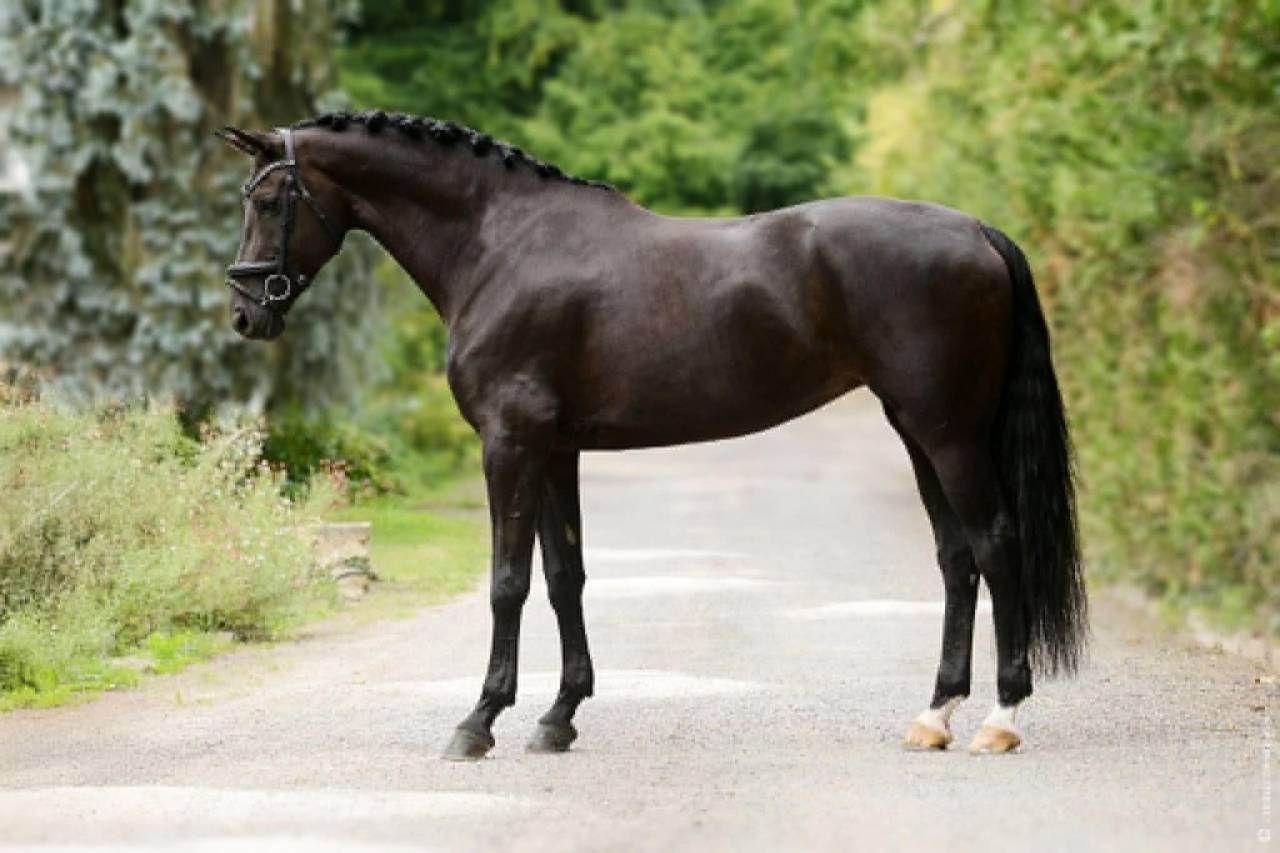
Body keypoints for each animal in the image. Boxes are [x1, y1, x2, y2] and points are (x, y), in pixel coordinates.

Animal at [216, 110, 1086, 760]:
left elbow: (508, 582)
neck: (500, 245)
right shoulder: (554, 449)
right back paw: (934, 715)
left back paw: (1000, 719)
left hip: (949, 433)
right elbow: (564, 576)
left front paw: (479, 720)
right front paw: (558, 716)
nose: (245, 313)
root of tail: (977, 230)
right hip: (916, 430)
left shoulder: (509, 443)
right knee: (957, 559)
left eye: (269, 199)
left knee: (996, 545)